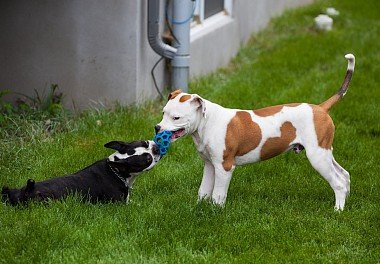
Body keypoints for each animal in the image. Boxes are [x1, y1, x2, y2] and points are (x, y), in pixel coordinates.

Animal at [0, 139, 160, 205]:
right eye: (147, 159)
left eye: (145, 143)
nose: (156, 148)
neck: (116, 171)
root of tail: (27, 191)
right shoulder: (119, 204)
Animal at [155, 53, 356, 210]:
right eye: (163, 113)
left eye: (176, 118)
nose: (157, 128)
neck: (207, 122)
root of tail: (320, 108)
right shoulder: (210, 165)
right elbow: (203, 190)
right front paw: (198, 207)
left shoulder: (224, 167)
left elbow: (218, 194)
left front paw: (216, 213)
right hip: (325, 152)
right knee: (344, 175)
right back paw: (346, 202)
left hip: (317, 156)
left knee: (338, 182)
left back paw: (337, 210)